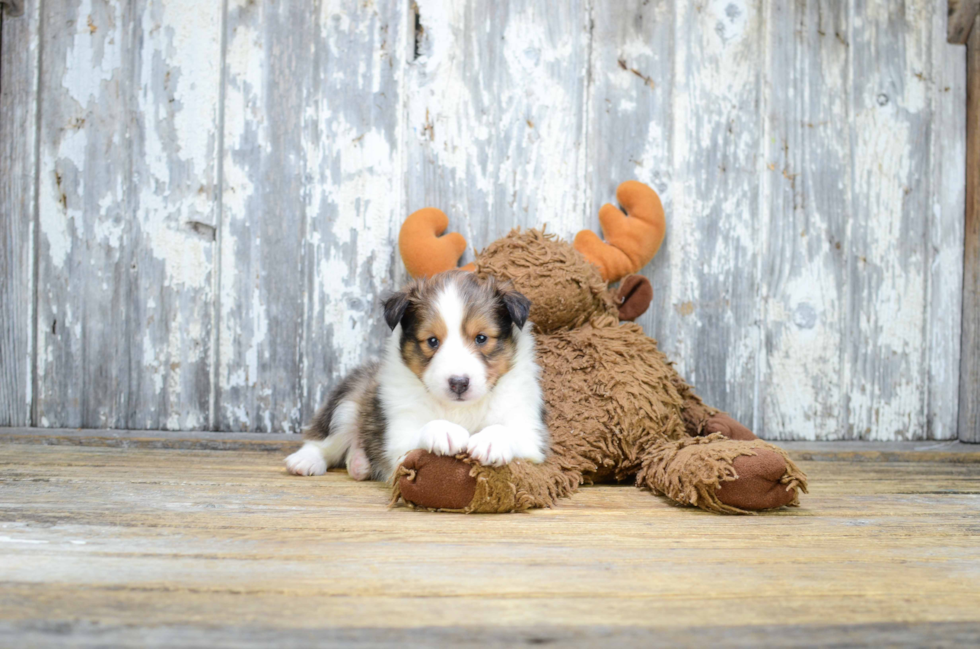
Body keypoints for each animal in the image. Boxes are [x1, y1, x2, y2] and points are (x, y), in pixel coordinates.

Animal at [286, 270, 552, 480]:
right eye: (432, 341)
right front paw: (445, 431)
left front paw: (490, 441)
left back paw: (360, 463)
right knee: (322, 439)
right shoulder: (399, 435)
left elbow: (509, 430)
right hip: (348, 403)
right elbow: (424, 428)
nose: (458, 383)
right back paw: (305, 461)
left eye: (481, 338)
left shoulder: (530, 433)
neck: (460, 409)